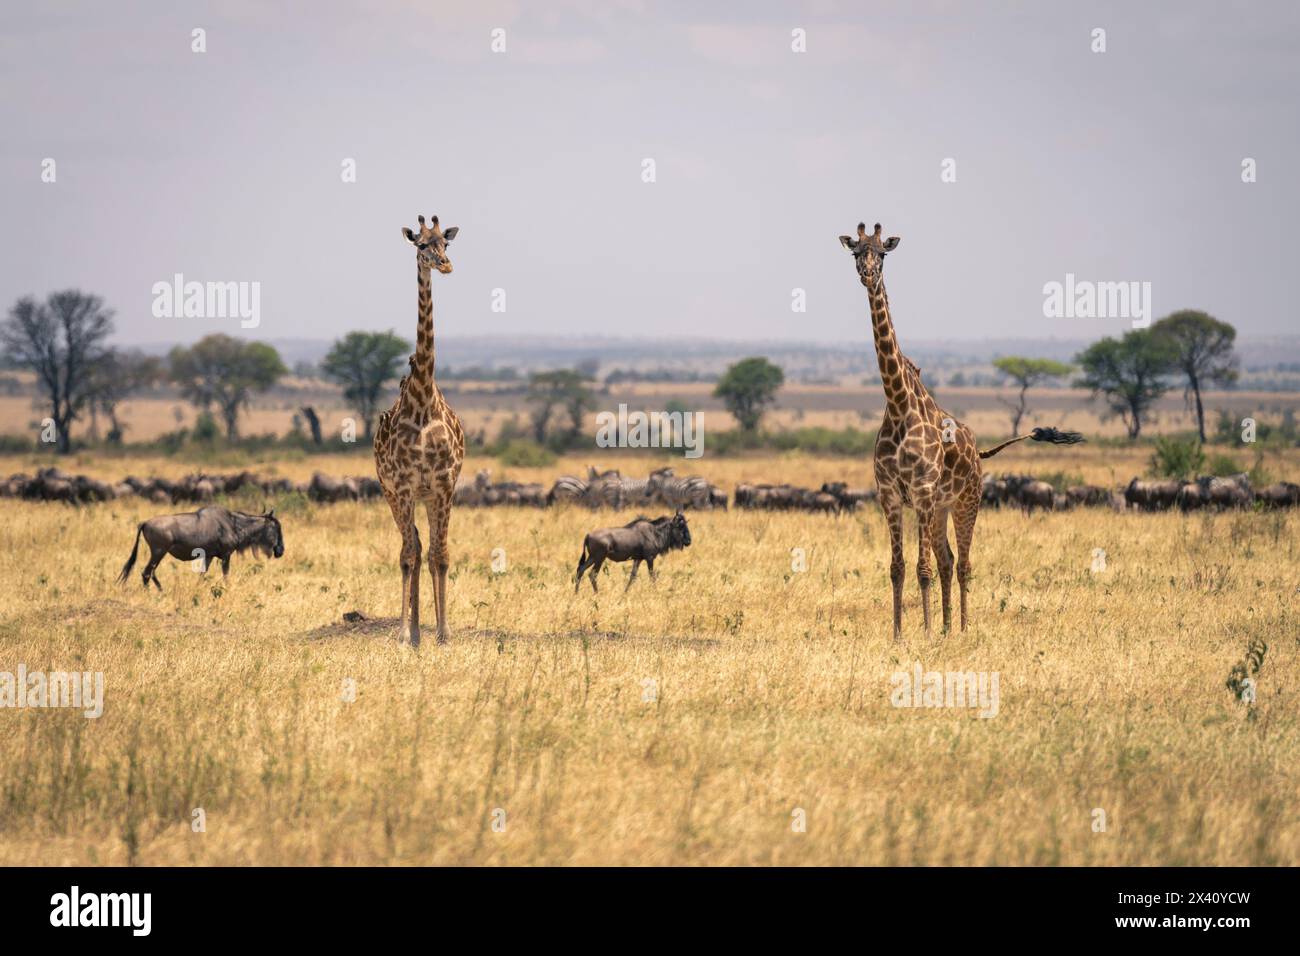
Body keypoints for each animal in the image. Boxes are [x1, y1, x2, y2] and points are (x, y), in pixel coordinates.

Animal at [839, 223, 1081, 639]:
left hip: (967, 501)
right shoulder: (890, 495)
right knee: (948, 561)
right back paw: (948, 627)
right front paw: (900, 635)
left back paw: (964, 628)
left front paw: (921, 633)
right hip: (941, 507)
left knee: (964, 563)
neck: (898, 405)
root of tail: (979, 452)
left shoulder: (920, 491)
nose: (868, 275)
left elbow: (920, 569)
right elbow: (897, 568)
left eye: (882, 254)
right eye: (857, 252)